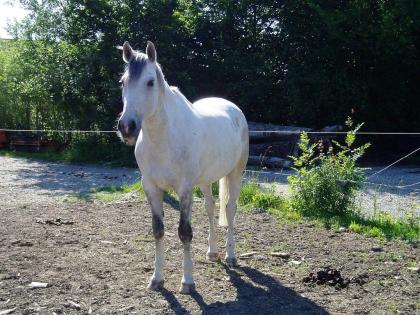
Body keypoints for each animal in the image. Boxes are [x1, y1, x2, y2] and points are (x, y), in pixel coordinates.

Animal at [117, 40, 249, 296]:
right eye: (123, 82)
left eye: (150, 82)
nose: (127, 127)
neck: (164, 138)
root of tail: (234, 109)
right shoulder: (151, 187)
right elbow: (158, 230)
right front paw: (157, 279)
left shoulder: (184, 189)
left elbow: (184, 233)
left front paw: (187, 282)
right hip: (207, 180)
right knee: (210, 208)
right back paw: (212, 252)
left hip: (235, 173)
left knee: (230, 209)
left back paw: (230, 255)